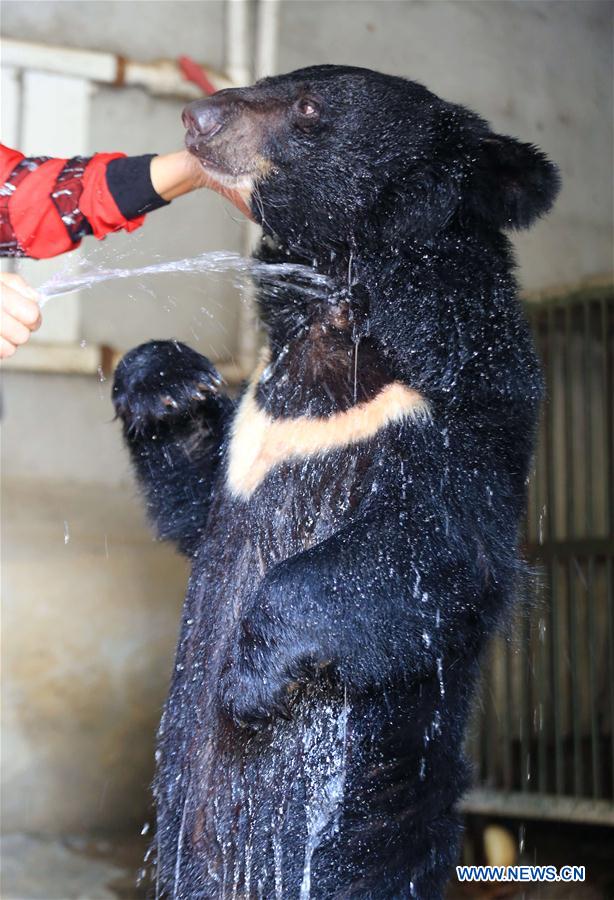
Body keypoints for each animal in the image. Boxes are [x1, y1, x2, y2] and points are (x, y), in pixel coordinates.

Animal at [113, 67, 560, 896]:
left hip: (376, 826)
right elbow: (196, 501)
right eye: (266, 82)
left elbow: (442, 551)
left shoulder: (464, 408)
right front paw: (165, 383)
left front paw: (248, 682)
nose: (195, 116)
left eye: (309, 107)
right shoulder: (258, 420)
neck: (334, 311)